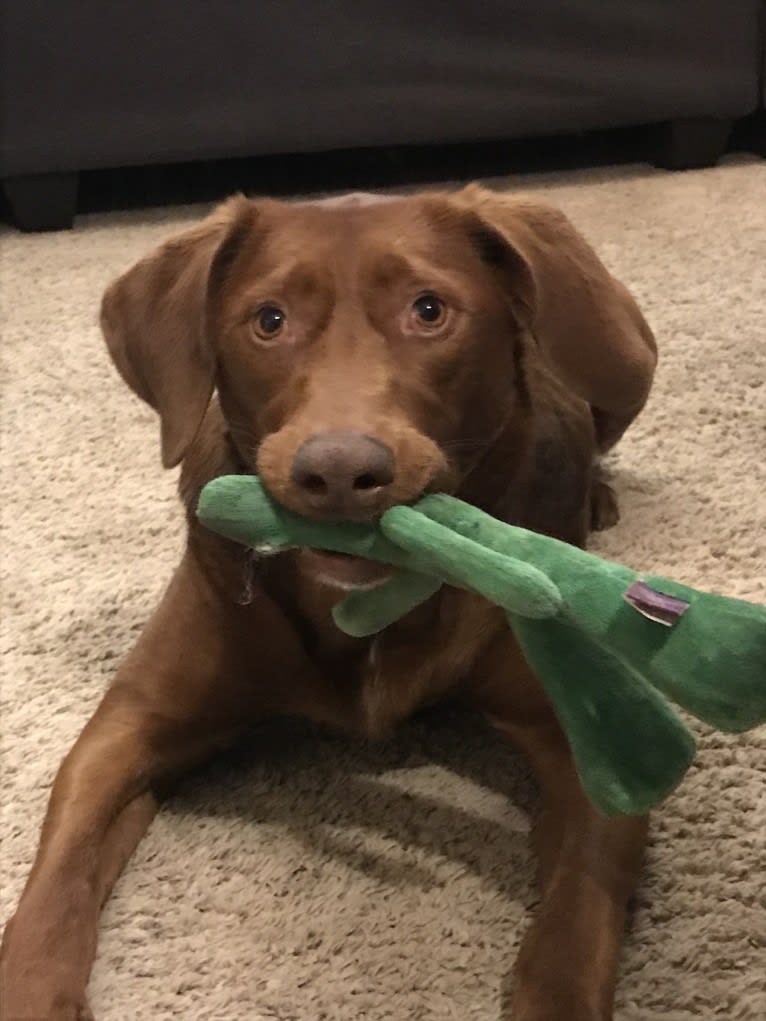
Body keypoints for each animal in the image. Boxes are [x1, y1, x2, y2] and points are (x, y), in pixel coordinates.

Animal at [0, 185, 661, 1021]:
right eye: (269, 320)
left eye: (429, 309)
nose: (340, 471)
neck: (373, 603)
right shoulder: (130, 724)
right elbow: (53, 884)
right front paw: (34, 986)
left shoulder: (598, 744)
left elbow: (577, 923)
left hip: (625, 362)